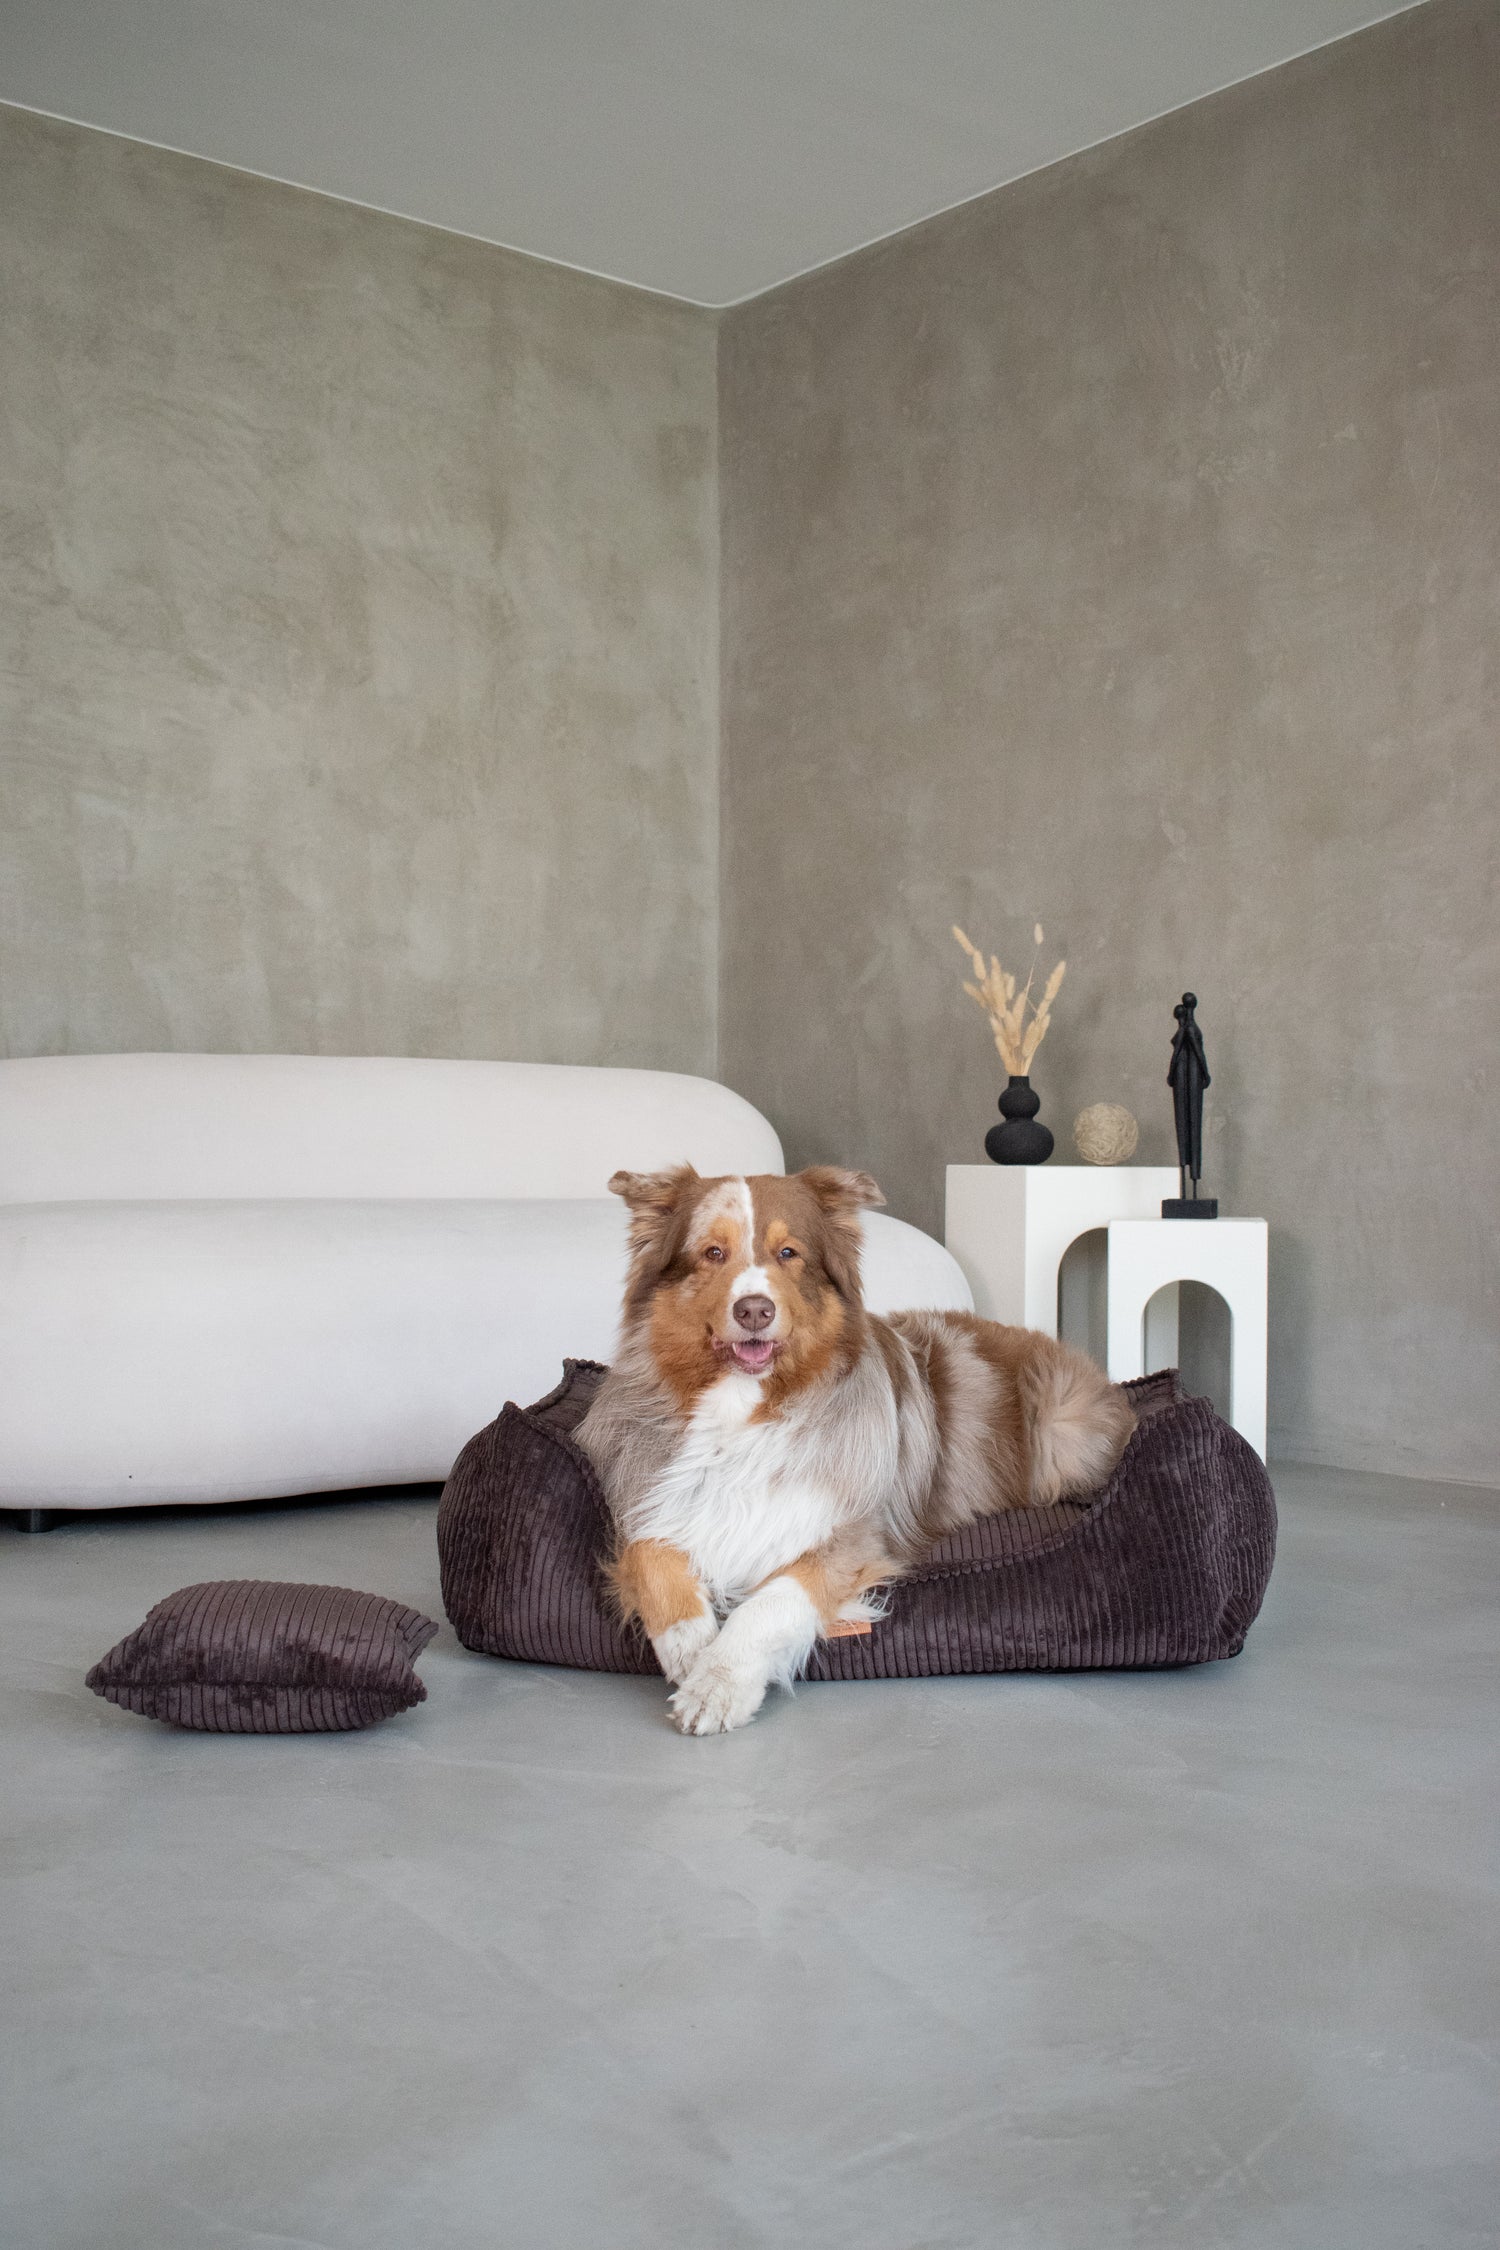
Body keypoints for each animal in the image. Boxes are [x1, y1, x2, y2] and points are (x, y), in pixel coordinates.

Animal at [577, 1163, 1136, 1735]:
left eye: (788, 1253)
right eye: (713, 1252)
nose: (754, 1310)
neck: (744, 1411)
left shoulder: (849, 1537)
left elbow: (769, 1604)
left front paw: (717, 1682)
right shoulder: (647, 1503)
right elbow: (651, 1555)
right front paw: (691, 1647)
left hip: (1065, 1433)